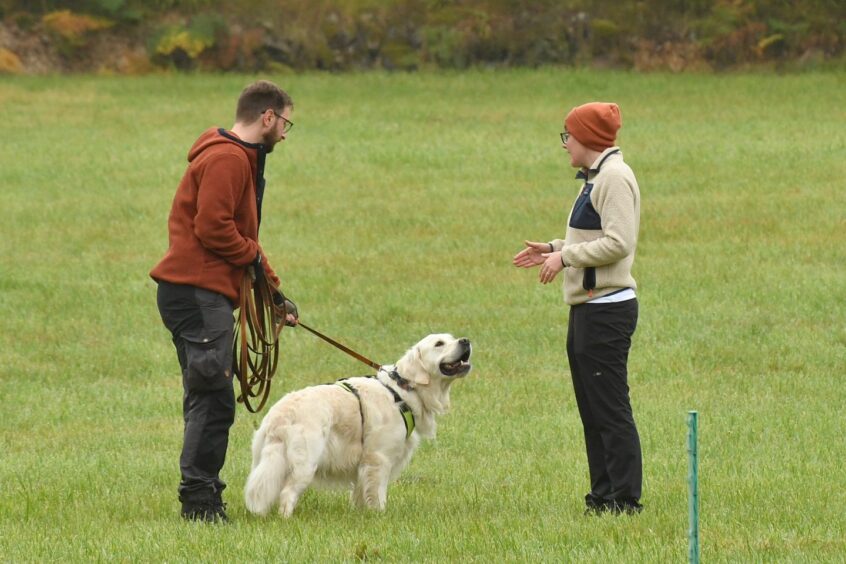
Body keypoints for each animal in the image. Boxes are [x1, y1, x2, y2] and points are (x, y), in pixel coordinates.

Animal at [242, 332, 474, 516]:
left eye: (452, 338)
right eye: (439, 344)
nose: (466, 340)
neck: (402, 390)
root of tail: (280, 415)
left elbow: (361, 494)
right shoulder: (378, 458)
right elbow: (378, 493)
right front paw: (379, 515)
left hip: (264, 460)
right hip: (305, 463)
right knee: (287, 493)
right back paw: (285, 518)